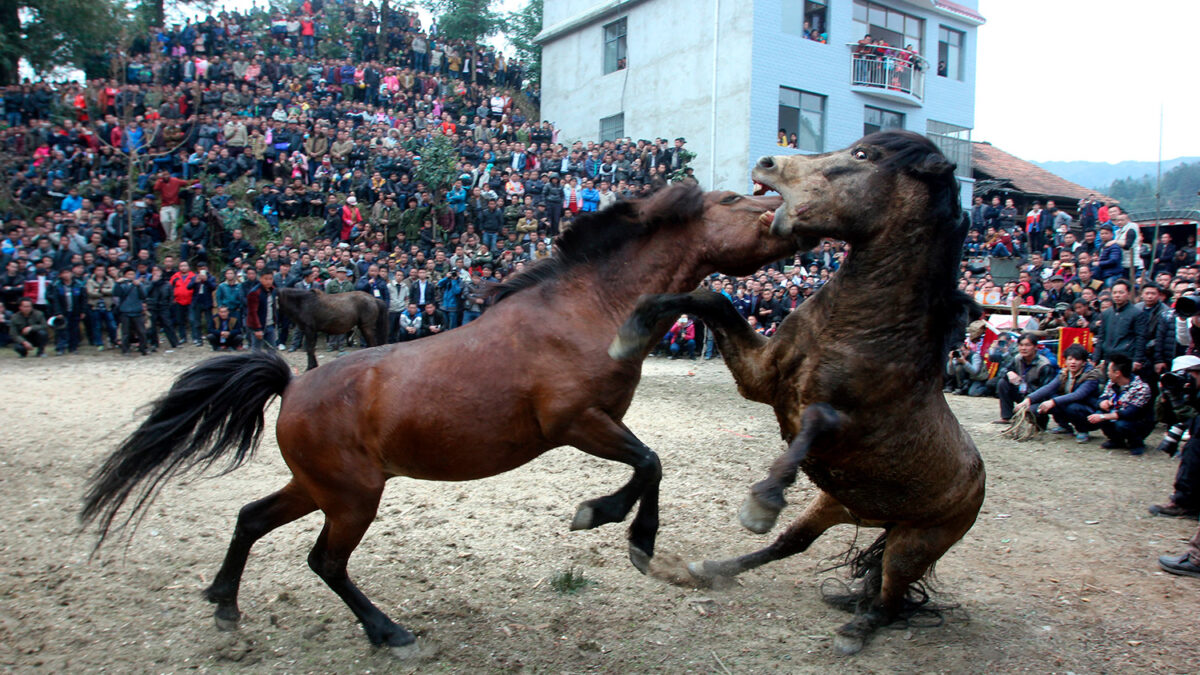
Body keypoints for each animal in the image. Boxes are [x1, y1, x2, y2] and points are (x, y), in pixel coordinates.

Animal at [82, 183, 796, 658]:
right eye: (738, 197)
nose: (794, 220)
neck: (592, 309)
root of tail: (293, 383)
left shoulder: (599, 423)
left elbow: (650, 464)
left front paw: (628, 534)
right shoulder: (575, 423)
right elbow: (650, 462)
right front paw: (612, 524)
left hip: (318, 487)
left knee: (251, 519)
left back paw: (225, 606)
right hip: (352, 497)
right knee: (324, 562)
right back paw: (390, 633)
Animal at [609, 130, 984, 653]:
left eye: (863, 155)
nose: (767, 162)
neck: (861, 329)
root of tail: (978, 481)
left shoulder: (844, 427)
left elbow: (818, 420)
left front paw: (761, 503)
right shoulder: (761, 378)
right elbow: (711, 298)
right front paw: (632, 329)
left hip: (919, 539)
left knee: (890, 595)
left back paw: (856, 629)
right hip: (837, 504)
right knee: (793, 544)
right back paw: (710, 568)